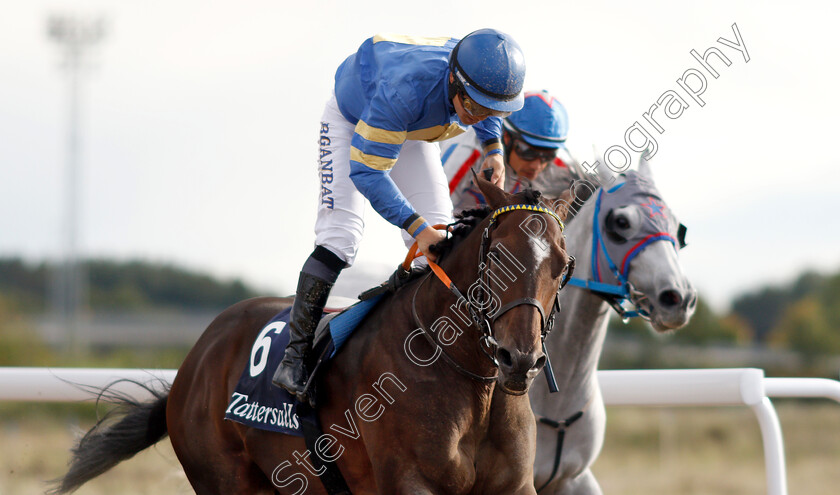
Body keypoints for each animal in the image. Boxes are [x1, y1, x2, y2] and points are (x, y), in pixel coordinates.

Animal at [50, 178, 572, 495]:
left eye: (562, 266)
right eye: (498, 256)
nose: (519, 359)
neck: (470, 382)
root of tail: (194, 361)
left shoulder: (514, 485)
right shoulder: (409, 482)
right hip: (226, 479)